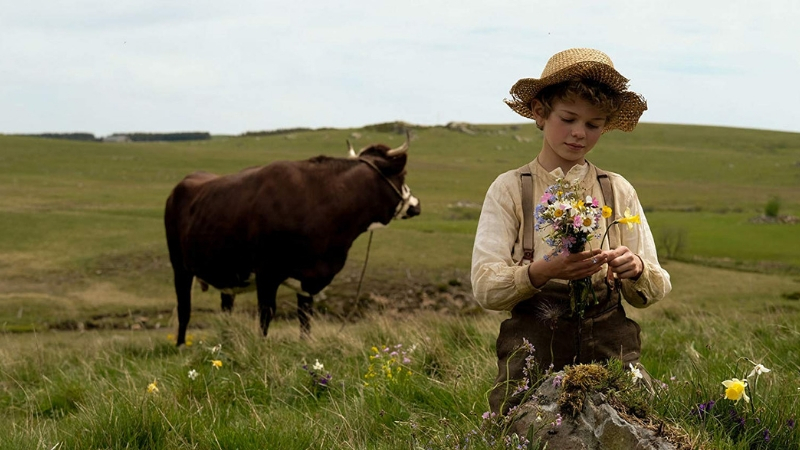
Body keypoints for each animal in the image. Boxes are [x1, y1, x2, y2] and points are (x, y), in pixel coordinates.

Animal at [166, 134, 422, 344]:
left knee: (226, 307)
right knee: (184, 307)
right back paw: (181, 346)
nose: (416, 205)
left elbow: (305, 318)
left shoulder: (310, 278)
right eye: (403, 175)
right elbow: (266, 314)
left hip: (226, 272)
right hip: (179, 266)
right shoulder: (267, 273)